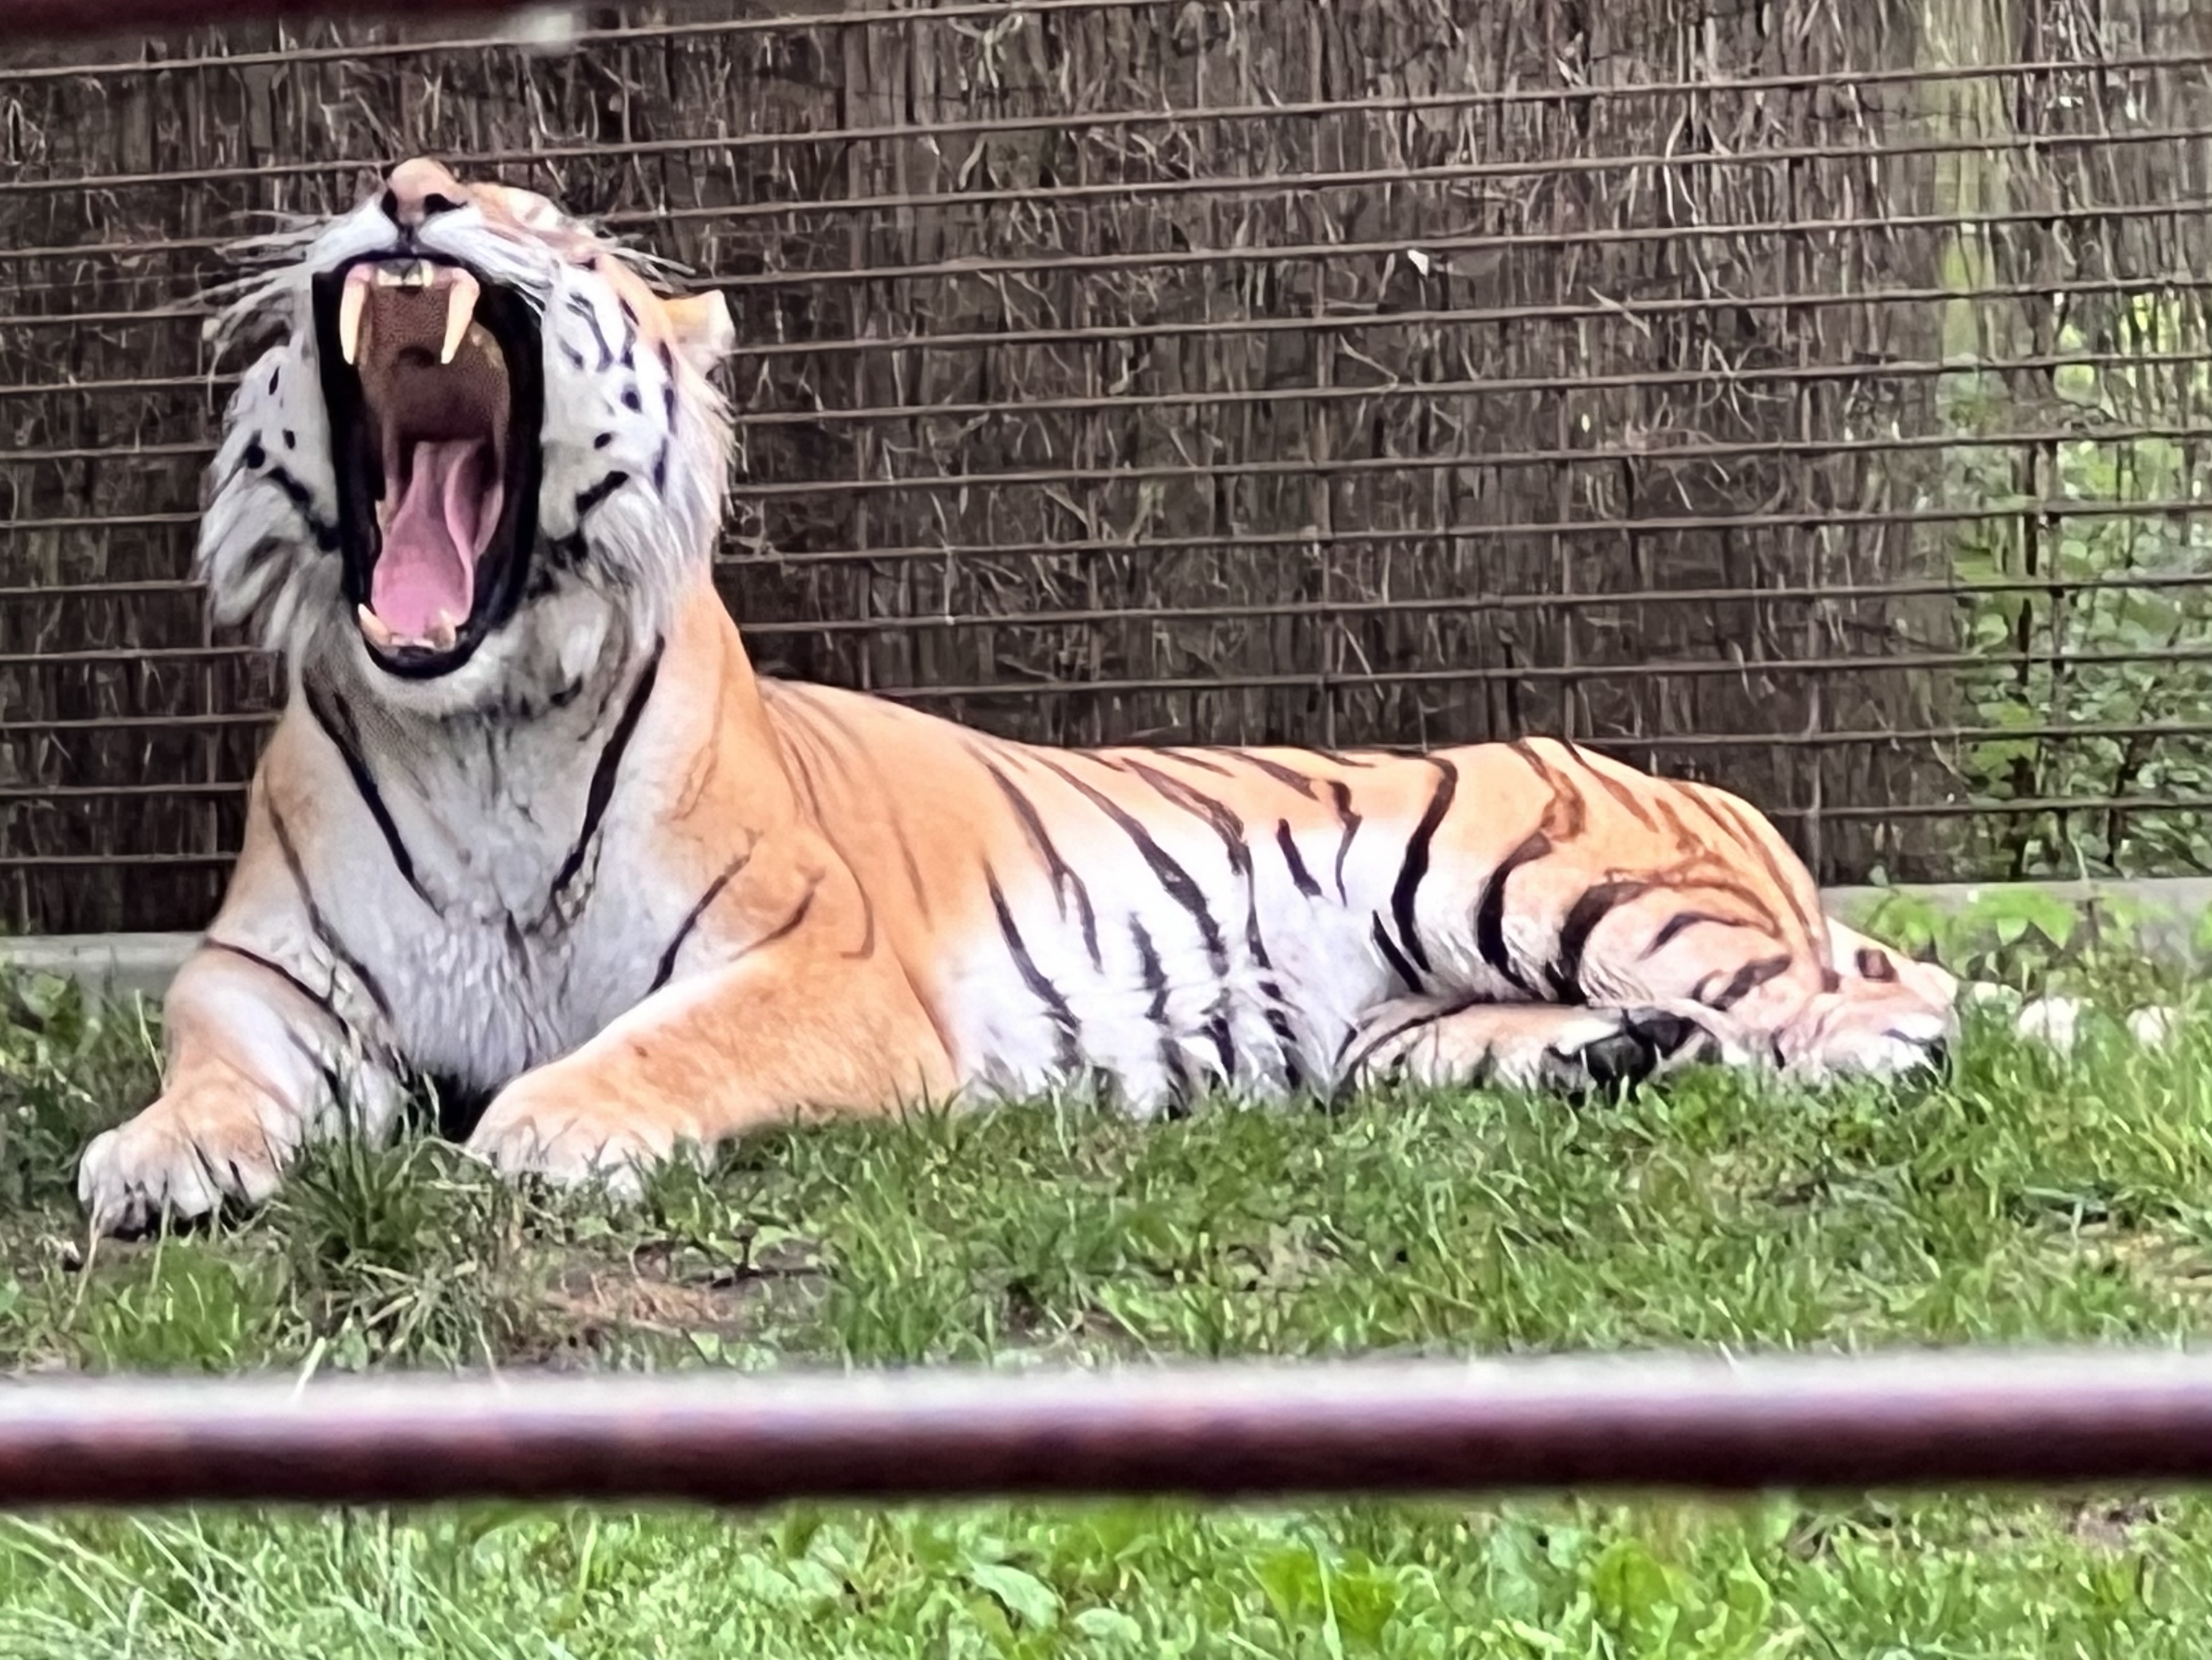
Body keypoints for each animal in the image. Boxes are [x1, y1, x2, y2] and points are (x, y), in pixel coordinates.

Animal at [77, 162, 1964, 1239]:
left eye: (556, 229)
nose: (409, 194)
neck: (479, 724)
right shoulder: (268, 970)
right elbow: (214, 1065)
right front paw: (156, 1157)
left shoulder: (817, 968)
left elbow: (660, 1042)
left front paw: (543, 1125)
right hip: (1393, 1022)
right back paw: (1611, 1053)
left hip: (1542, 870)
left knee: (1869, 1000)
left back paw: (1862, 1046)